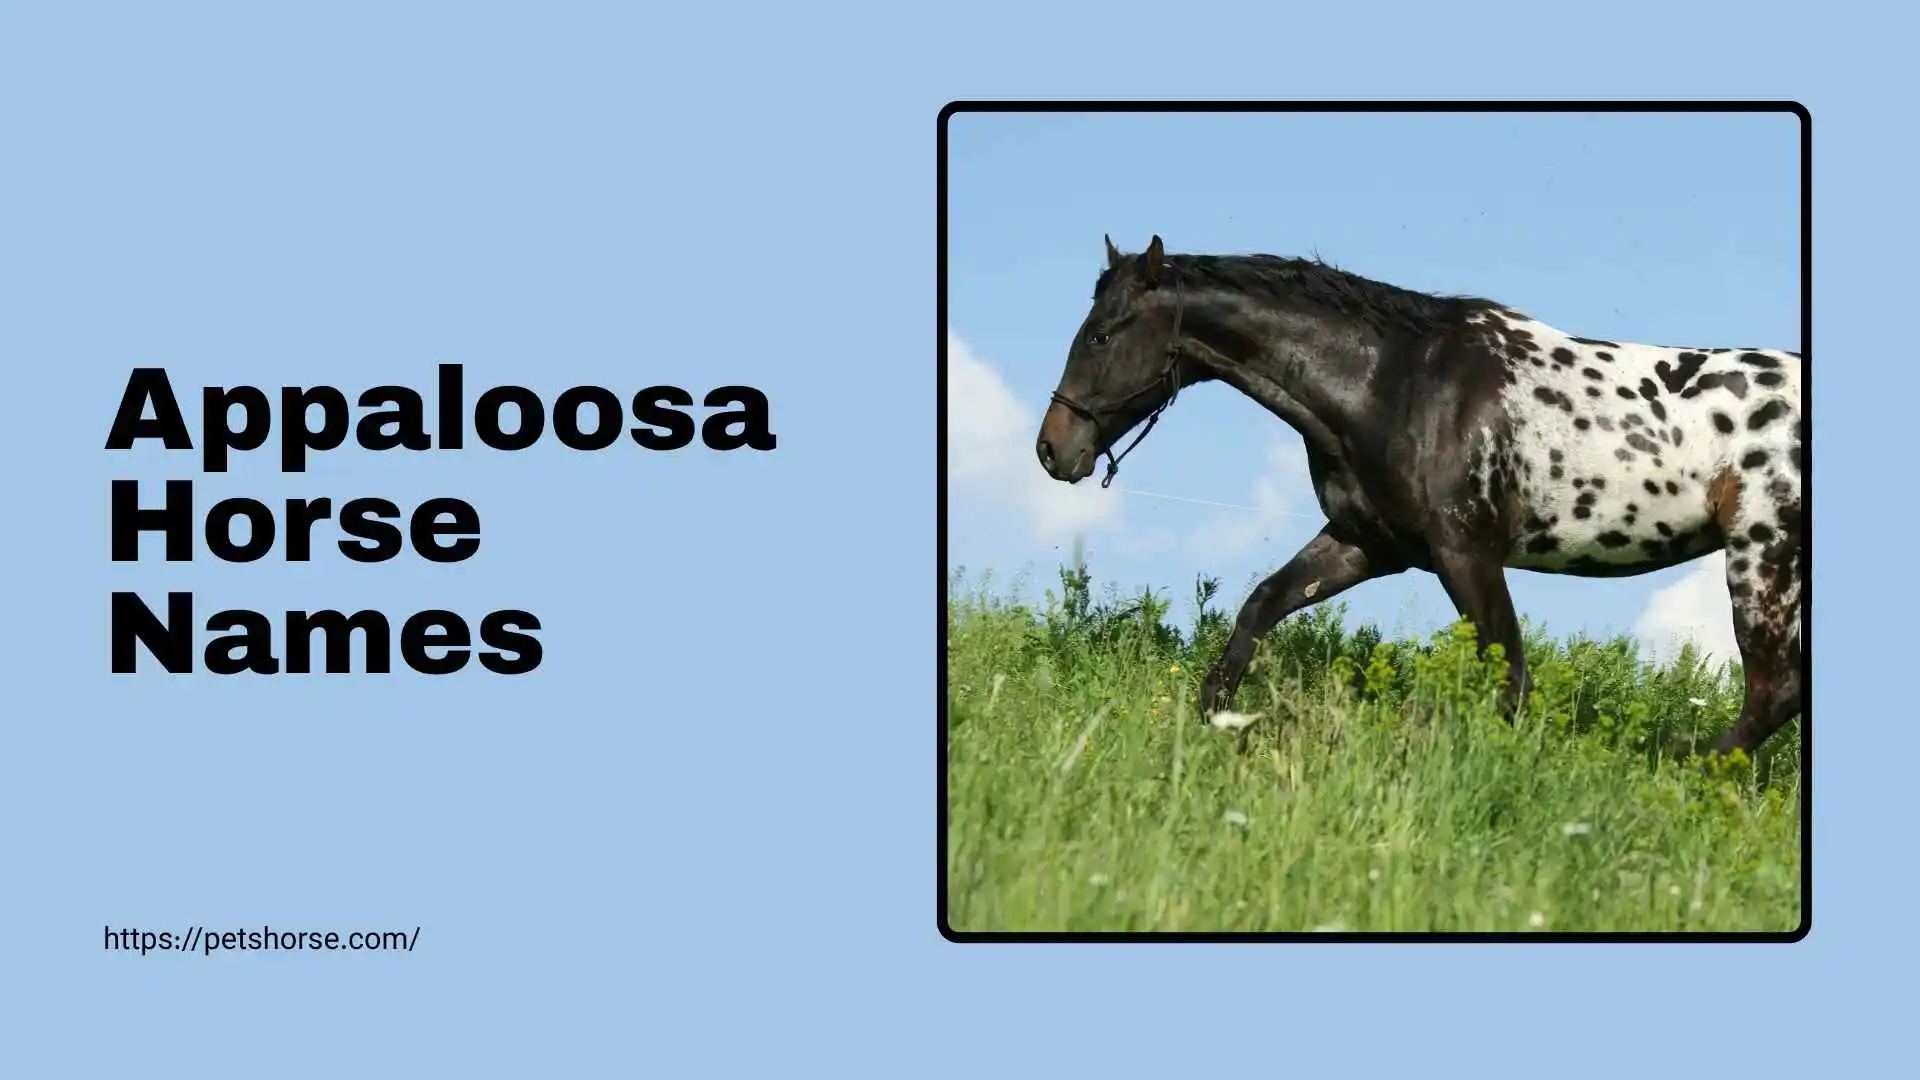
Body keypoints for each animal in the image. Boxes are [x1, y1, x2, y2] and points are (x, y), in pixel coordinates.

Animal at [1035, 235, 1804, 758]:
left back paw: (1678, 765)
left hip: (1762, 559)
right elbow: (1262, 603)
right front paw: (1213, 716)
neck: (1398, 384)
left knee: (1772, 692)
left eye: (1101, 334)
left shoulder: (1465, 552)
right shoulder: (1370, 543)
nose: (1052, 450)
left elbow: (1509, 671)